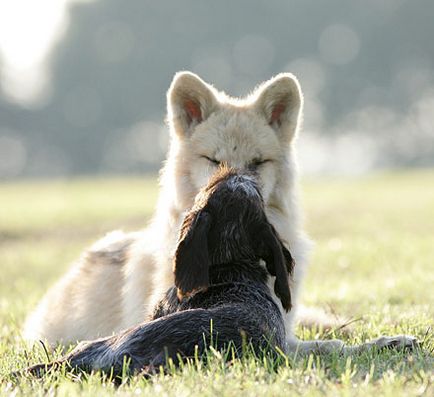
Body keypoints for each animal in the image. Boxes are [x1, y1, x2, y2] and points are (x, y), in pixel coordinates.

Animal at [23, 71, 418, 352]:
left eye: (257, 163)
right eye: (214, 161)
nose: (237, 186)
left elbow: (333, 340)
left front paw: (388, 340)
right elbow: (327, 346)